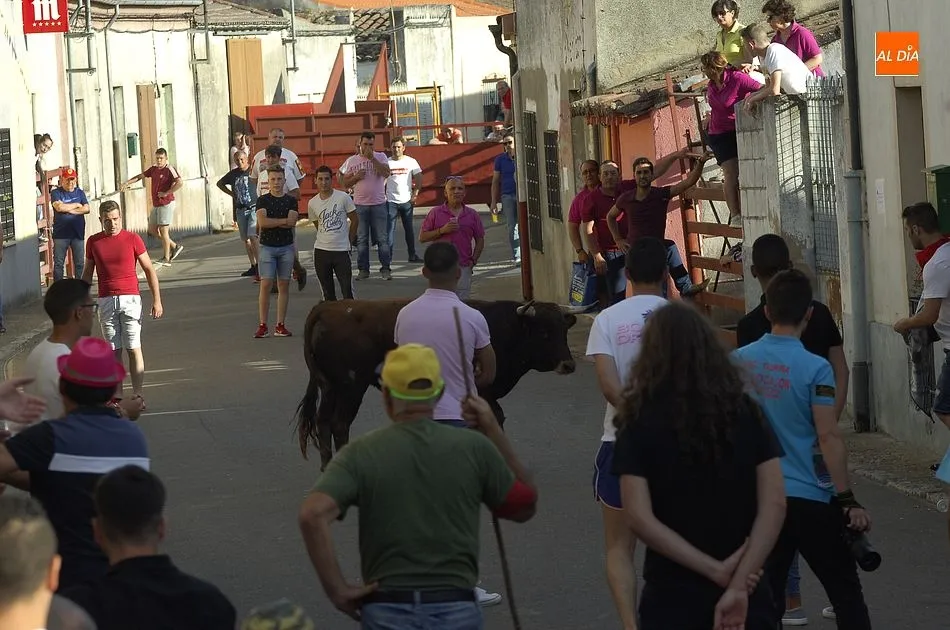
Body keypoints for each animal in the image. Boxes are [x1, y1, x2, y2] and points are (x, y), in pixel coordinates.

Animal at [295, 298, 581, 470]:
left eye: (564, 330)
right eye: (544, 332)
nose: (568, 365)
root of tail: (328, 307)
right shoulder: (482, 390)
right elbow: (494, 417)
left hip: (330, 386)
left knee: (323, 421)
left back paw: (327, 465)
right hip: (351, 386)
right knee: (339, 423)